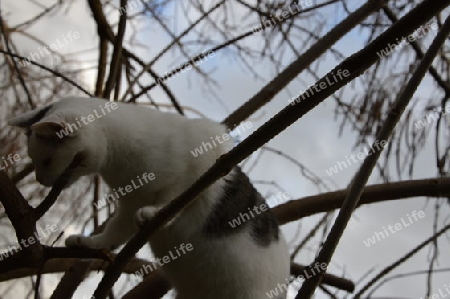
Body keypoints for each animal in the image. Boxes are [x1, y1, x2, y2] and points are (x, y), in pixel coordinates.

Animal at [8, 98, 290, 299]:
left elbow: (174, 196)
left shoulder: (203, 163)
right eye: (34, 161)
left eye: (46, 161)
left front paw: (154, 212)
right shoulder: (129, 203)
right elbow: (114, 233)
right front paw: (89, 242)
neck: (118, 161)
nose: (40, 180)